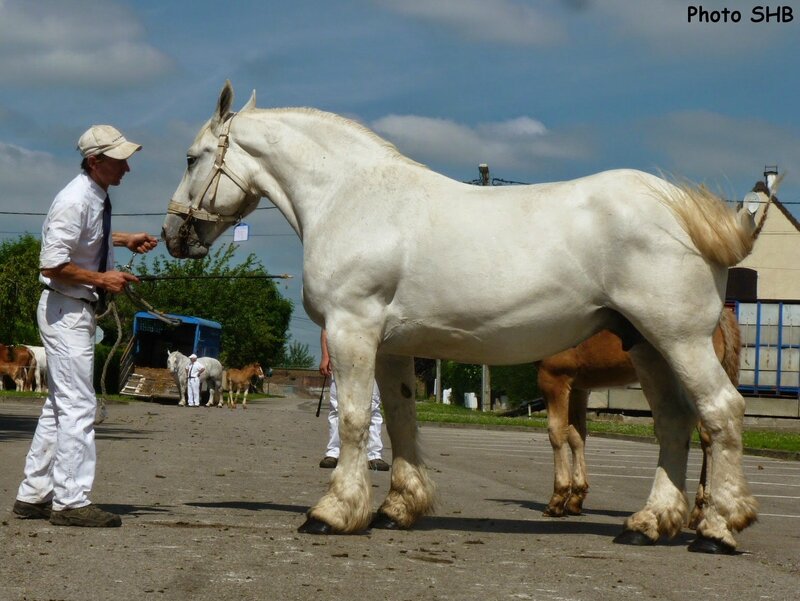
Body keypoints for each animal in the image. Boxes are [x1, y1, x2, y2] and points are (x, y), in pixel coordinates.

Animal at [536, 304, 740, 520]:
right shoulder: (578, 388)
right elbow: (577, 436)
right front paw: (576, 498)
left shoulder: (553, 380)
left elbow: (557, 433)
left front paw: (557, 500)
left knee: (709, 437)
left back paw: (701, 509)